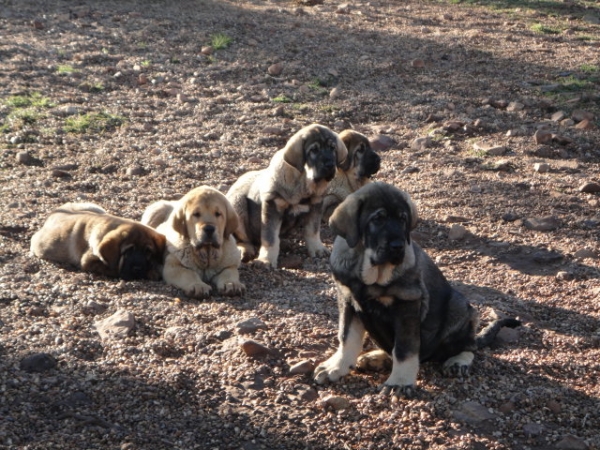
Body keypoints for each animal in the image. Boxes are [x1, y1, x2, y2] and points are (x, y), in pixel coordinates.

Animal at [225, 124, 346, 268]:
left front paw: (317, 249)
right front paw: (266, 259)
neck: (303, 183)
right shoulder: (272, 207)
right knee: (242, 239)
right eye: (314, 150)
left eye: (332, 148)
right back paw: (246, 251)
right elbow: (270, 238)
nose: (330, 165)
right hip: (237, 204)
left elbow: (313, 230)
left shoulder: (316, 204)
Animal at [314, 182, 520, 394]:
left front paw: (399, 381)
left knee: (468, 346)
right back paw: (375, 358)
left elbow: (404, 348)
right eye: (378, 219)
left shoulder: (407, 305)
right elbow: (346, 337)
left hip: (460, 307)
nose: (398, 247)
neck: (371, 273)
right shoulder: (348, 300)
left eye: (403, 219)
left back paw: (458, 361)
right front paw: (336, 367)